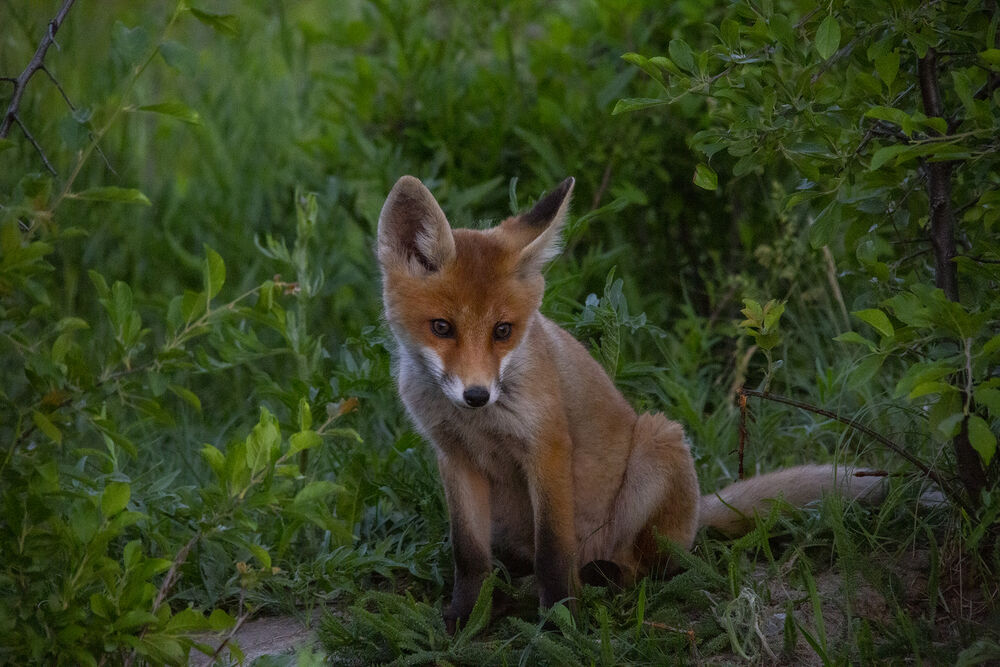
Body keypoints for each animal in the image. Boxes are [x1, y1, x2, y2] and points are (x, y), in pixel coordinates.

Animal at [376, 175, 884, 628]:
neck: (478, 427)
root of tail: (695, 515)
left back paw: (607, 575)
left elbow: (553, 553)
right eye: (442, 327)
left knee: (655, 566)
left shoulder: (547, 448)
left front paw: (561, 621)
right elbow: (468, 555)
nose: (477, 395)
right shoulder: (455, 458)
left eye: (503, 331)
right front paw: (467, 616)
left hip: (660, 442)